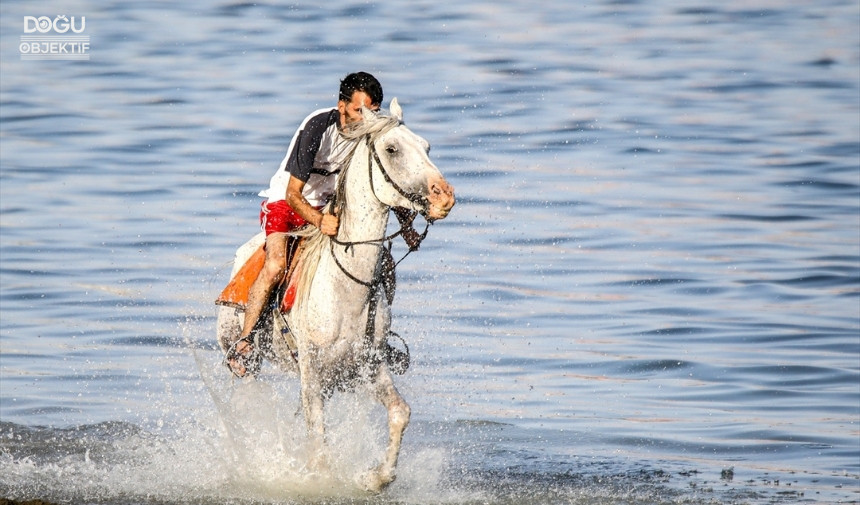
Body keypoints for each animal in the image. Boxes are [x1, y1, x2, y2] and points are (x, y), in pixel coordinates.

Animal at [218, 97, 454, 488]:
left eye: (427, 147)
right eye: (392, 149)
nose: (445, 197)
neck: (346, 291)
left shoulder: (369, 366)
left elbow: (400, 413)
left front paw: (376, 478)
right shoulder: (311, 371)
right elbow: (317, 435)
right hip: (245, 357)